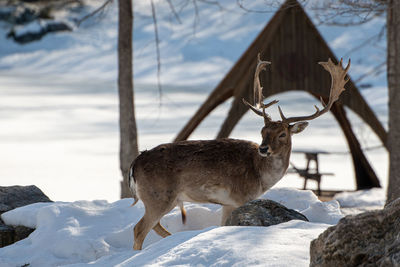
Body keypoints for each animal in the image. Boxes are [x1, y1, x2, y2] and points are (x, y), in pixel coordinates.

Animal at [128, 54, 350, 251]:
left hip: (165, 198)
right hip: (159, 195)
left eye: (282, 134)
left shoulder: (228, 202)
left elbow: (222, 226)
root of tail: (134, 164)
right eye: (263, 131)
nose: (263, 148)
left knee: (154, 226)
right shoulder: (241, 196)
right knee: (139, 229)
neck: (260, 175)